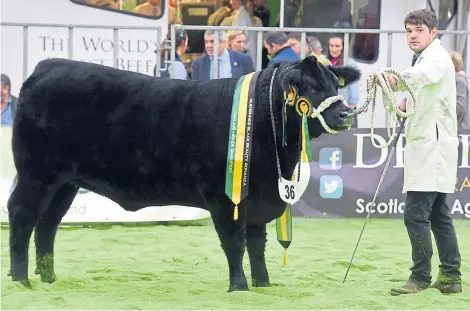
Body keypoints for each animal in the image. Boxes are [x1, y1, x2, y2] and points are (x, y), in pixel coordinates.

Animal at [6, 56, 360, 292]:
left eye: (334, 84)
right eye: (310, 87)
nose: (346, 113)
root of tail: (46, 67)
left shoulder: (259, 197)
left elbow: (257, 245)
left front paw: (263, 285)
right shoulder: (225, 197)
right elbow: (235, 242)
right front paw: (239, 287)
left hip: (65, 182)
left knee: (48, 223)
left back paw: (48, 278)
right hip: (37, 172)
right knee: (22, 214)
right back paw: (22, 279)